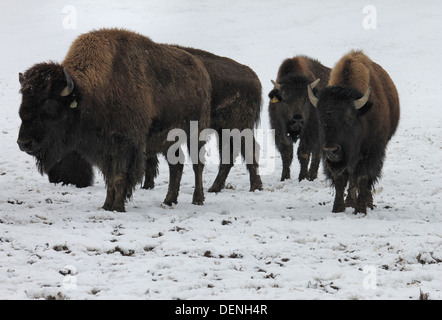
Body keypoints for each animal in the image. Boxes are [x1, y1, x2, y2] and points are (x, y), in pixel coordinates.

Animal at [17, 28, 211, 212]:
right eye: (23, 100)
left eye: (49, 104)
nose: (23, 143)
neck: (88, 94)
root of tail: (201, 69)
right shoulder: (104, 150)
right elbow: (110, 179)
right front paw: (106, 206)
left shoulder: (125, 145)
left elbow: (119, 177)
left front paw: (117, 207)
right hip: (168, 140)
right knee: (176, 165)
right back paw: (169, 200)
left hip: (196, 132)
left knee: (197, 165)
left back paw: (198, 199)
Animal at [308, 50, 400, 214]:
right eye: (320, 118)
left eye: (348, 118)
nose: (331, 150)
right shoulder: (334, 159)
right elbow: (340, 179)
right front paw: (338, 208)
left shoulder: (370, 153)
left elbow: (363, 178)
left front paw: (361, 209)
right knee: (351, 177)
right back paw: (350, 201)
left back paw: (367, 202)